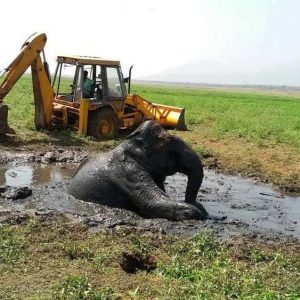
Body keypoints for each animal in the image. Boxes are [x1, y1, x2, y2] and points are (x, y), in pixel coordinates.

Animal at [69, 119, 209, 220]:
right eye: (170, 147)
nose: (204, 210)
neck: (131, 141)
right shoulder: (128, 172)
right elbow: (151, 203)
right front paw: (196, 212)